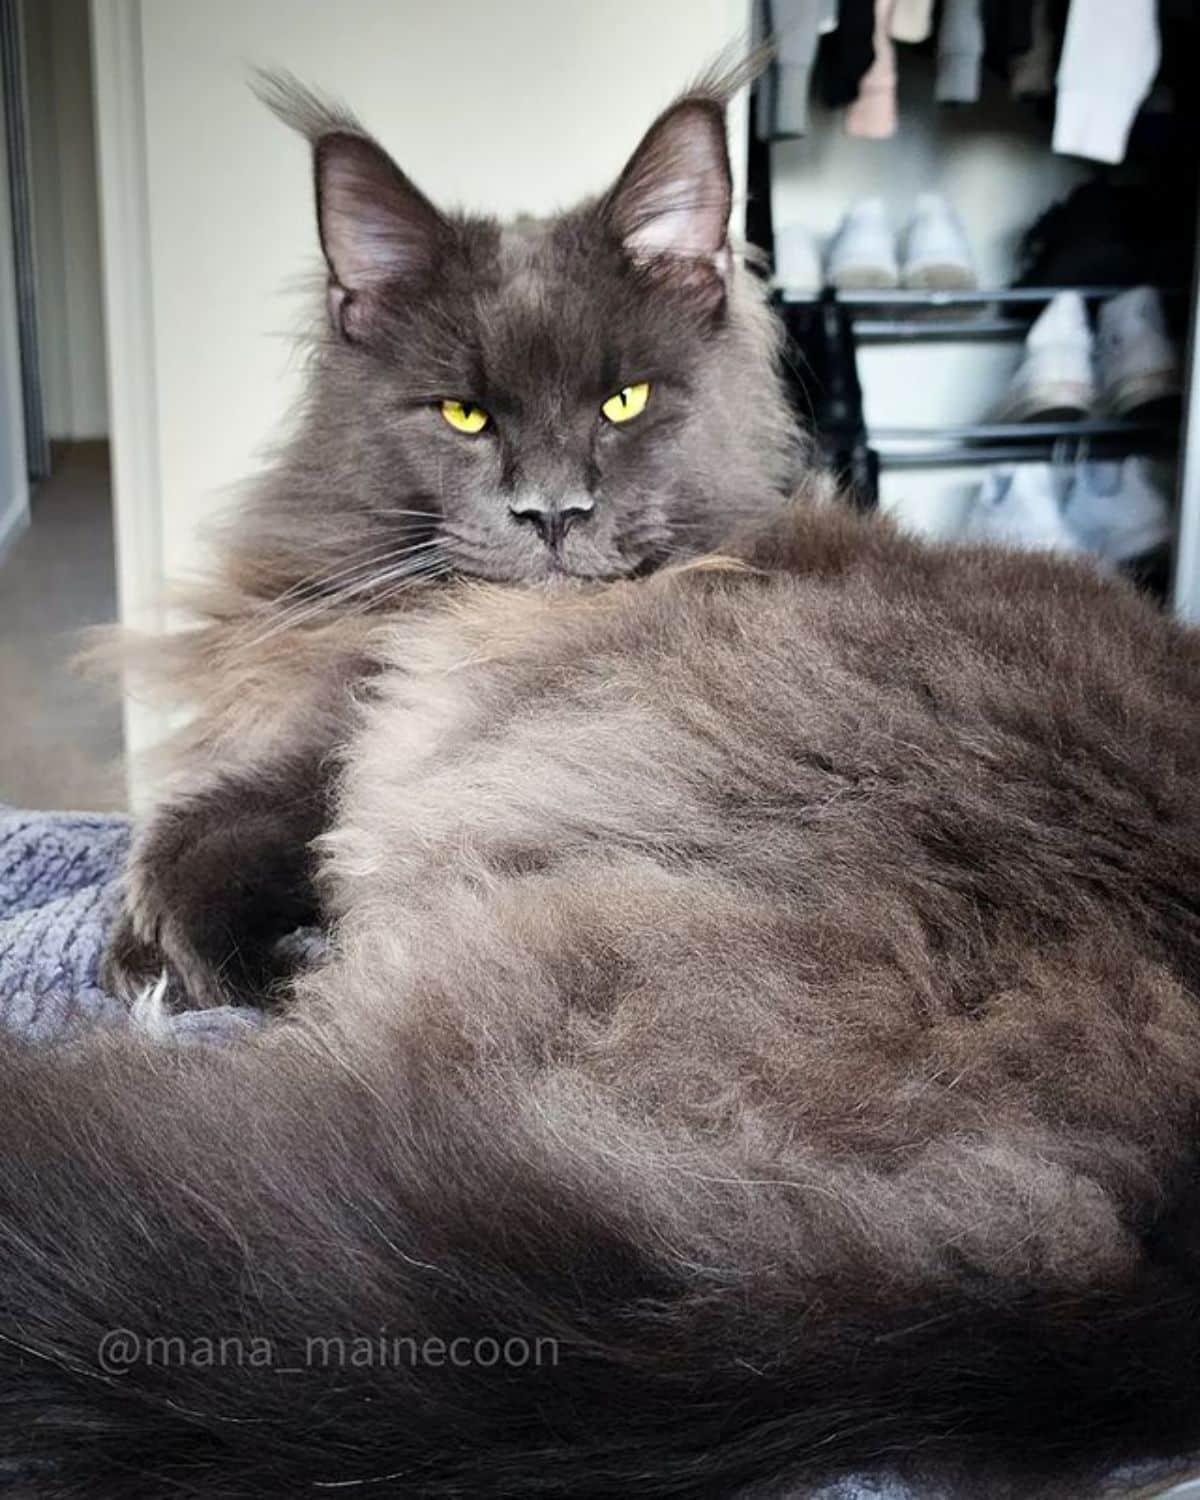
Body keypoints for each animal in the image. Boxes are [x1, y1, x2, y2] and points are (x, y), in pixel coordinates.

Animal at [98, 64, 804, 1014]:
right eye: (464, 415)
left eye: (624, 401)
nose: (553, 511)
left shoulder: (356, 739)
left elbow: (215, 828)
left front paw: (199, 961)